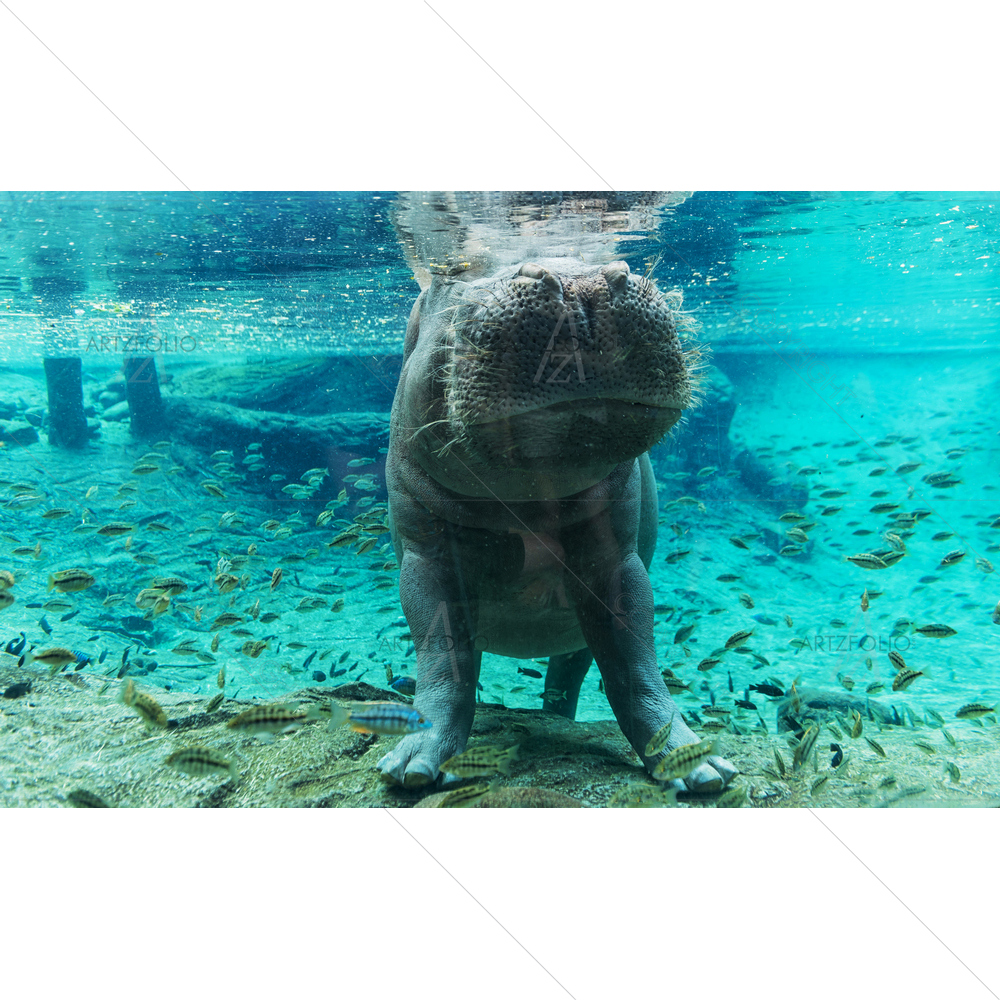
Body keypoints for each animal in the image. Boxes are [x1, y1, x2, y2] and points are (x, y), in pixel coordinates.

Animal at [377, 193, 737, 794]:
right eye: (452, 274)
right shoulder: (426, 553)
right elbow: (443, 658)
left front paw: (698, 766)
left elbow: (634, 662)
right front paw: (414, 767)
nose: (582, 282)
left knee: (569, 675)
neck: (529, 501)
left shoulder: (616, 559)